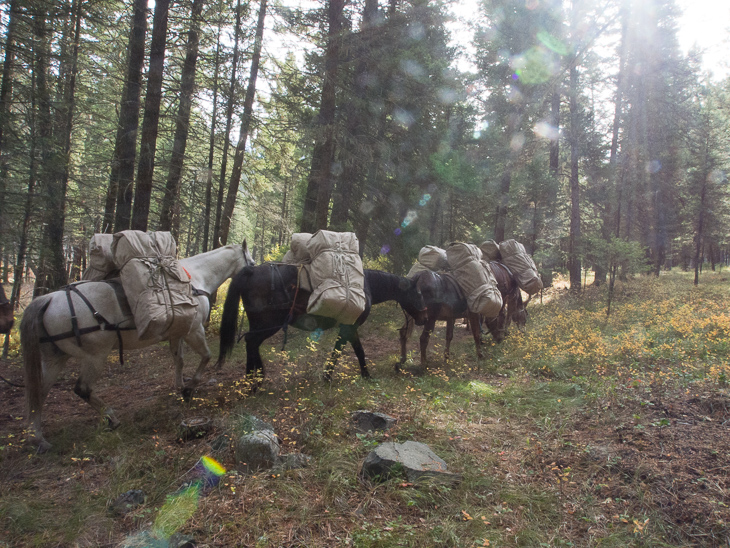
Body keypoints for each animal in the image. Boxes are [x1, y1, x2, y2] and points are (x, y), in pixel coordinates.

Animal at [20, 242, 253, 452]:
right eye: (250, 263)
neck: (196, 279)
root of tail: (49, 299)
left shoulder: (177, 333)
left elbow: (178, 360)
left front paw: (180, 387)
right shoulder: (193, 331)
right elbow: (205, 356)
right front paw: (188, 389)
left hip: (55, 358)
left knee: (39, 392)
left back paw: (38, 438)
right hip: (95, 356)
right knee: (82, 388)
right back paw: (111, 418)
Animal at [216, 266, 426, 386]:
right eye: (419, 294)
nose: (424, 318)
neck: (365, 286)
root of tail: (251, 271)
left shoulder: (350, 328)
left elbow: (350, 351)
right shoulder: (349, 327)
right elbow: (348, 351)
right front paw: (350, 376)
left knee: (251, 343)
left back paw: (253, 379)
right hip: (269, 324)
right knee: (251, 342)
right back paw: (255, 382)